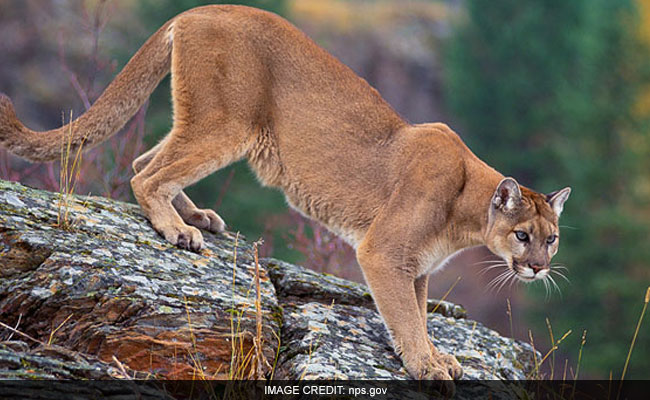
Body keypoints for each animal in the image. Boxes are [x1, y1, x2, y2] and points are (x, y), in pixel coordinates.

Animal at [0, 4, 568, 386]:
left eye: (553, 238)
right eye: (522, 235)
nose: (539, 268)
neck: (466, 211)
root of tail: (198, 9)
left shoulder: (417, 267)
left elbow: (418, 314)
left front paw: (433, 355)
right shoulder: (384, 253)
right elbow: (406, 316)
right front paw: (425, 364)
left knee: (144, 161)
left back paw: (198, 217)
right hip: (228, 123)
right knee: (147, 175)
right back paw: (179, 231)